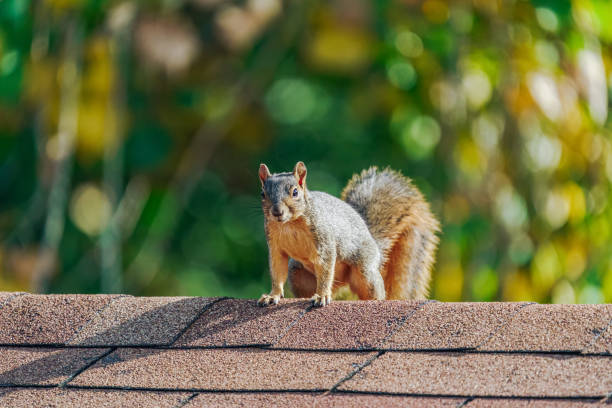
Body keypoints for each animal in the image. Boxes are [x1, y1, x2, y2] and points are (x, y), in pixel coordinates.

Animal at [256, 162, 438, 306]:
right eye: (263, 194)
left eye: (295, 192)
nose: (277, 212)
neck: (289, 224)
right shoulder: (275, 247)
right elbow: (277, 271)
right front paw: (272, 296)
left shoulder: (325, 240)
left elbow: (326, 267)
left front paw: (322, 296)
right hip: (298, 274)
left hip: (365, 270)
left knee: (373, 289)